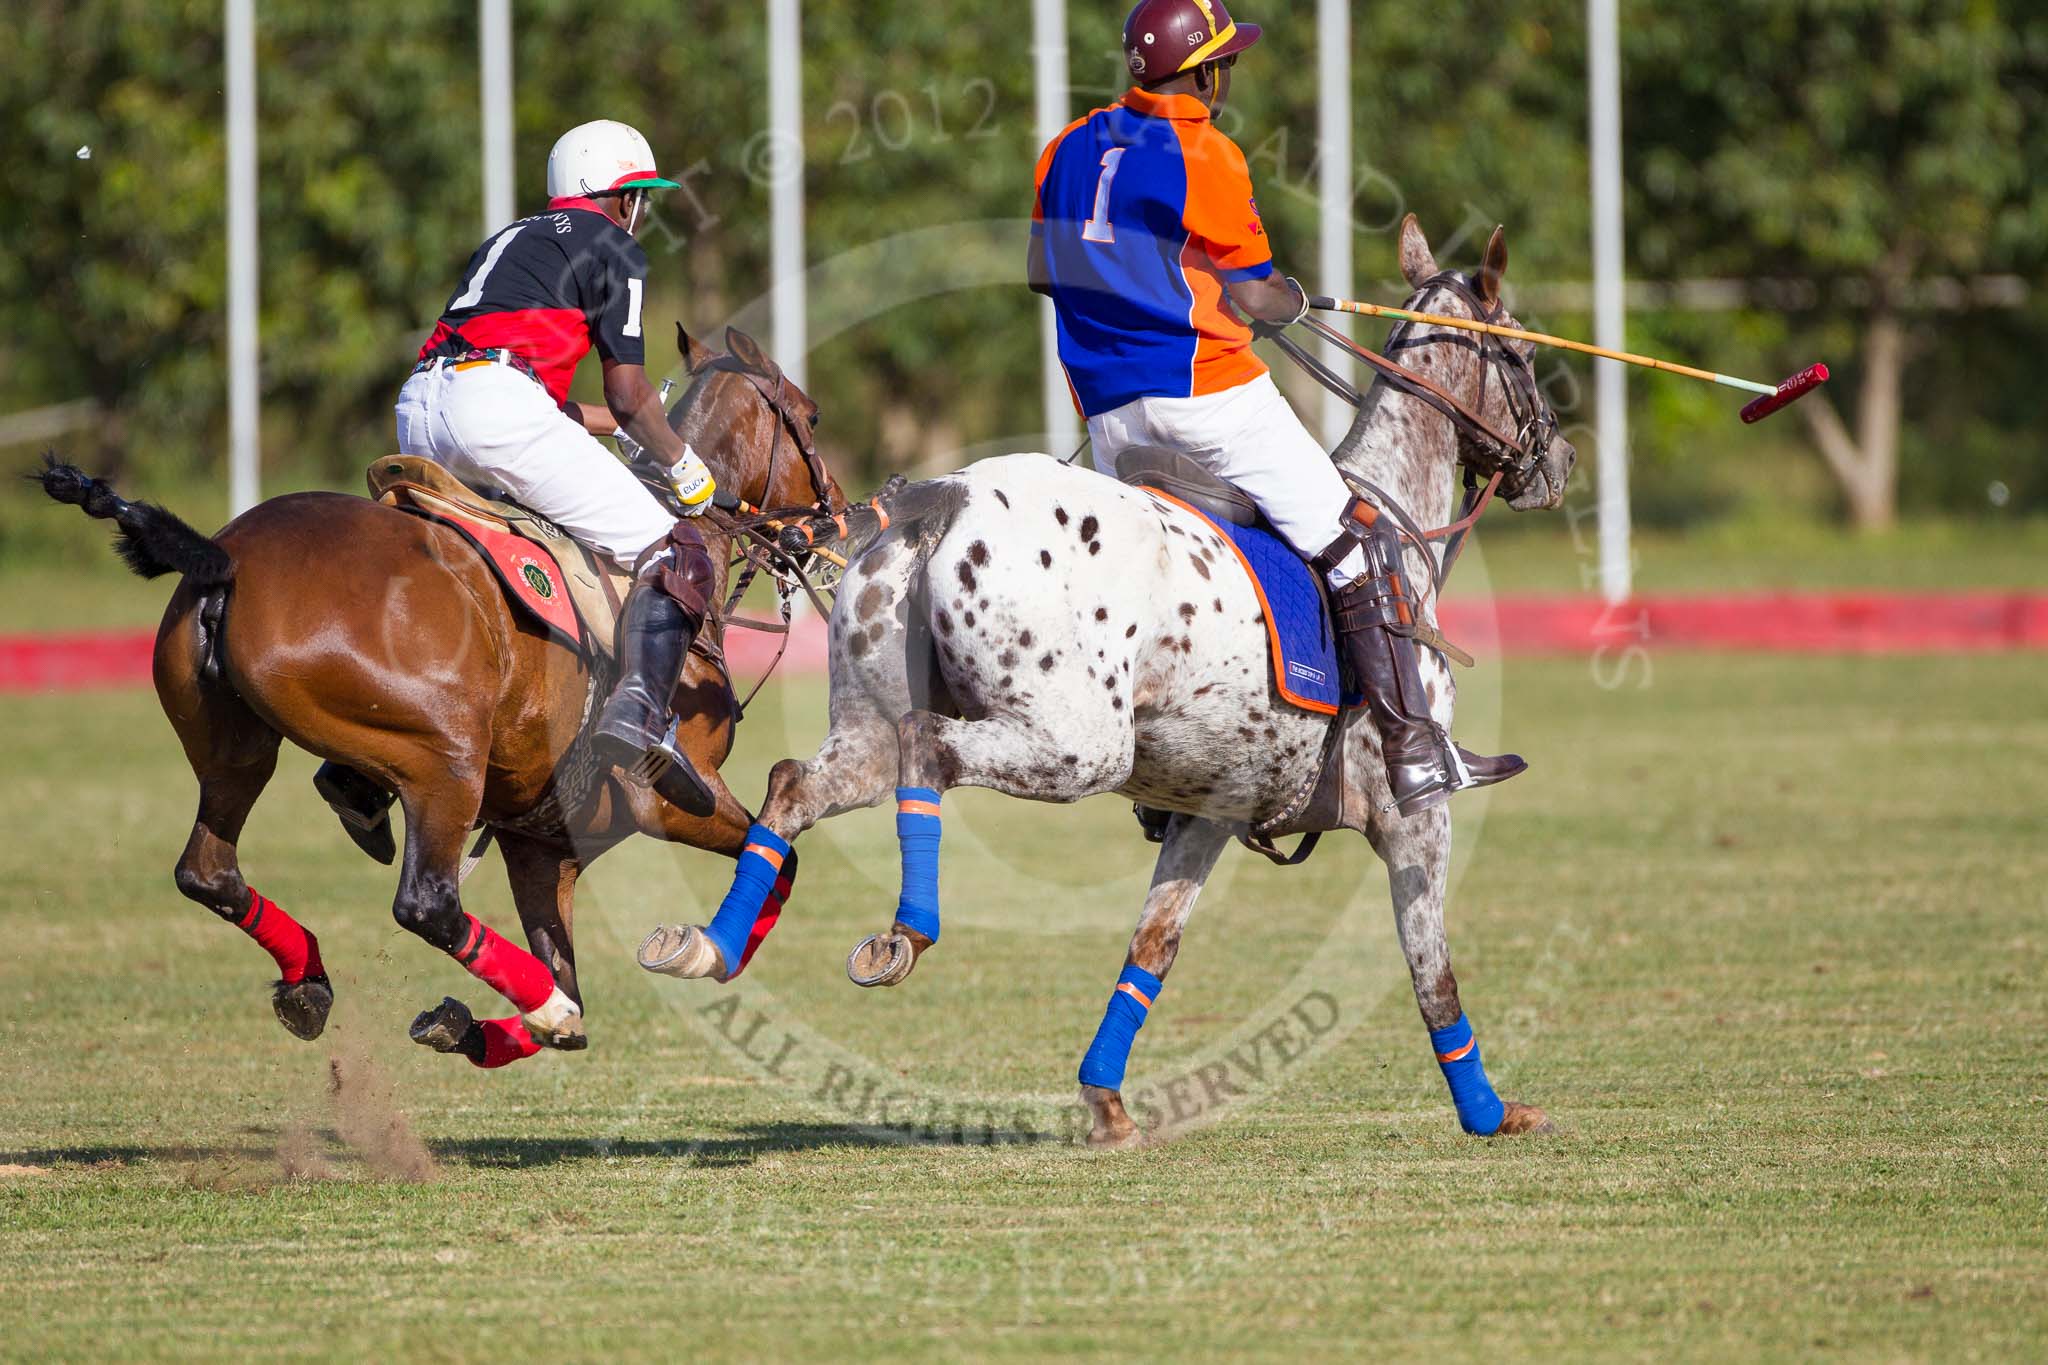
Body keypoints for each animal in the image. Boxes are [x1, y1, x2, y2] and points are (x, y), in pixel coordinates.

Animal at [39, 327, 839, 1064]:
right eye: (812, 415)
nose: (831, 517)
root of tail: (225, 557)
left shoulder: (542, 842)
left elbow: (570, 989)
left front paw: (471, 1025)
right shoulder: (670, 798)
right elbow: (780, 862)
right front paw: (701, 952)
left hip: (236, 747)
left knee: (208, 872)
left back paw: (313, 980)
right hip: (445, 757)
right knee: (426, 901)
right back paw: (514, 995)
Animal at [647, 215, 1572, 1146]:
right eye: (1524, 352)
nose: (1559, 458)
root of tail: (943, 498)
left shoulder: (1211, 808)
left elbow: (1151, 946)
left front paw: (1106, 1101)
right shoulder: (1416, 813)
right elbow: (1432, 965)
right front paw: (1492, 1111)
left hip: (874, 725)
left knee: (798, 781)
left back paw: (709, 944)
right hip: (1077, 745)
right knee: (929, 749)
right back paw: (908, 932)